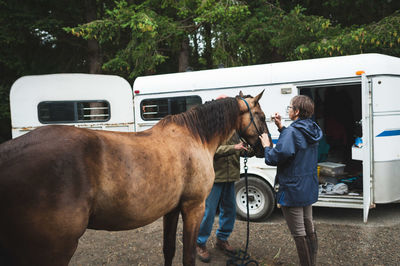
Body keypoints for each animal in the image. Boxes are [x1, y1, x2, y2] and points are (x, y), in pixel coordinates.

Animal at [0, 91, 272, 264]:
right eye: (260, 116)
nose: (262, 148)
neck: (195, 136)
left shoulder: (171, 209)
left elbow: (168, 250)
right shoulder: (193, 207)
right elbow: (188, 256)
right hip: (54, 249)